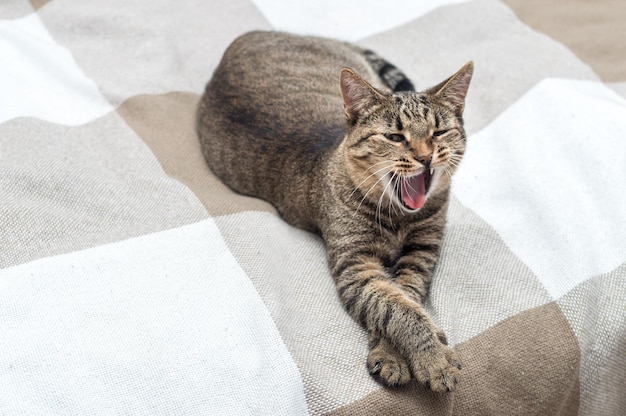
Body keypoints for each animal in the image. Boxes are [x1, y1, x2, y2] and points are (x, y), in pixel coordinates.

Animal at [194, 30, 468, 392]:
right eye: (395, 136)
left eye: (439, 132)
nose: (425, 157)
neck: (397, 217)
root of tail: (252, 34)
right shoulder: (354, 265)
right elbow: (396, 307)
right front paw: (431, 357)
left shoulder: (422, 252)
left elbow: (405, 293)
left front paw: (404, 351)